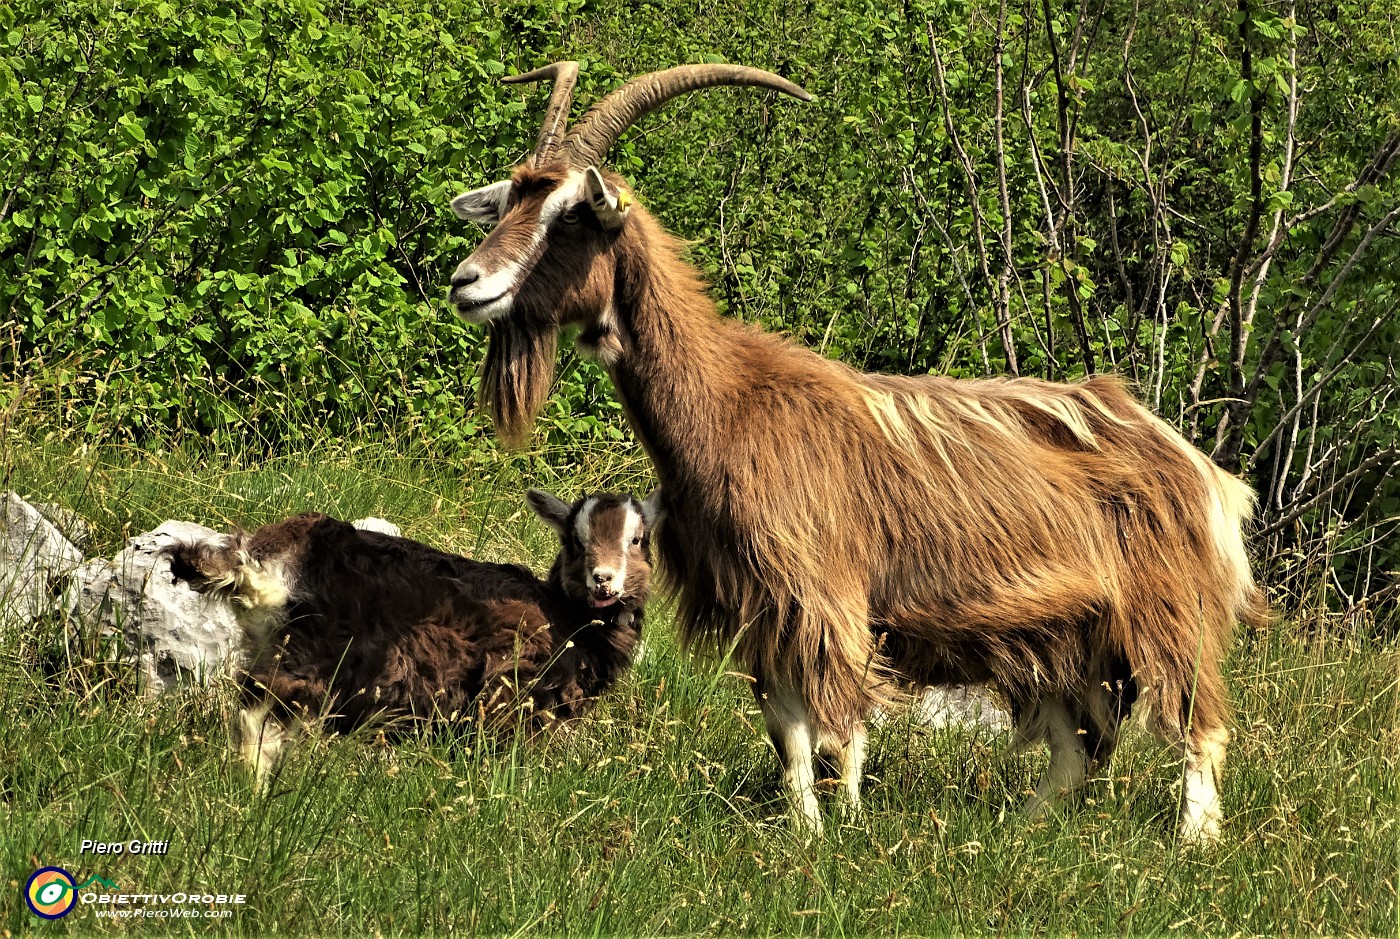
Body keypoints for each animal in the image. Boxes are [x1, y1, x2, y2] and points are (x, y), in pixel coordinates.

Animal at [166, 492, 658, 778]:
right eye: (575, 540)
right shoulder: (510, 689)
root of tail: (262, 563)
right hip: (316, 655)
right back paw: (255, 788)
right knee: (260, 712)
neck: (567, 619)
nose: (604, 581)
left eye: (638, 540)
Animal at [445, 62, 1271, 839]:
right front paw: (806, 832)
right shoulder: (762, 607)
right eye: (511, 201)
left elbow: (840, 733)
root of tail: (1200, 468)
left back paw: (1194, 842)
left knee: (1198, 725)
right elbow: (789, 737)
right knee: (1078, 748)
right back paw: (1021, 829)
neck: (732, 403)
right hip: (1066, 637)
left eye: (572, 216)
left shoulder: (826, 599)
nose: (466, 281)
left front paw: (846, 831)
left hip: (1168, 613)